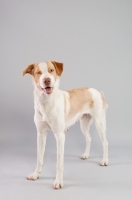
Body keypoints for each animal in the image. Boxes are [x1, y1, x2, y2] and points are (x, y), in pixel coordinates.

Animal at [23, 60, 108, 189]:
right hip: (84, 124)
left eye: (51, 70)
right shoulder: (41, 134)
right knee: (89, 138)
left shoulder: (60, 136)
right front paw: (35, 174)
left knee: (105, 142)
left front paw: (58, 181)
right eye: (38, 72)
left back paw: (104, 160)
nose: (47, 80)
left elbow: (59, 162)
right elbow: (39, 158)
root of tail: (98, 91)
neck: (46, 102)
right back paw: (86, 155)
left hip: (99, 123)